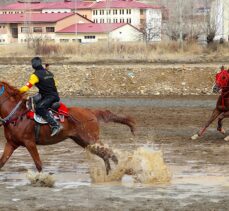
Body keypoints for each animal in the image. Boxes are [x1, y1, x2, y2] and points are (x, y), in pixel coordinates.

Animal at [0, 81, 136, 174]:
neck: (16, 115)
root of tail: (91, 111)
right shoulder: (11, 143)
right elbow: (2, 162)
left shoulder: (30, 143)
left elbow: (38, 164)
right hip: (83, 141)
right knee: (105, 154)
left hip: (90, 139)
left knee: (108, 152)